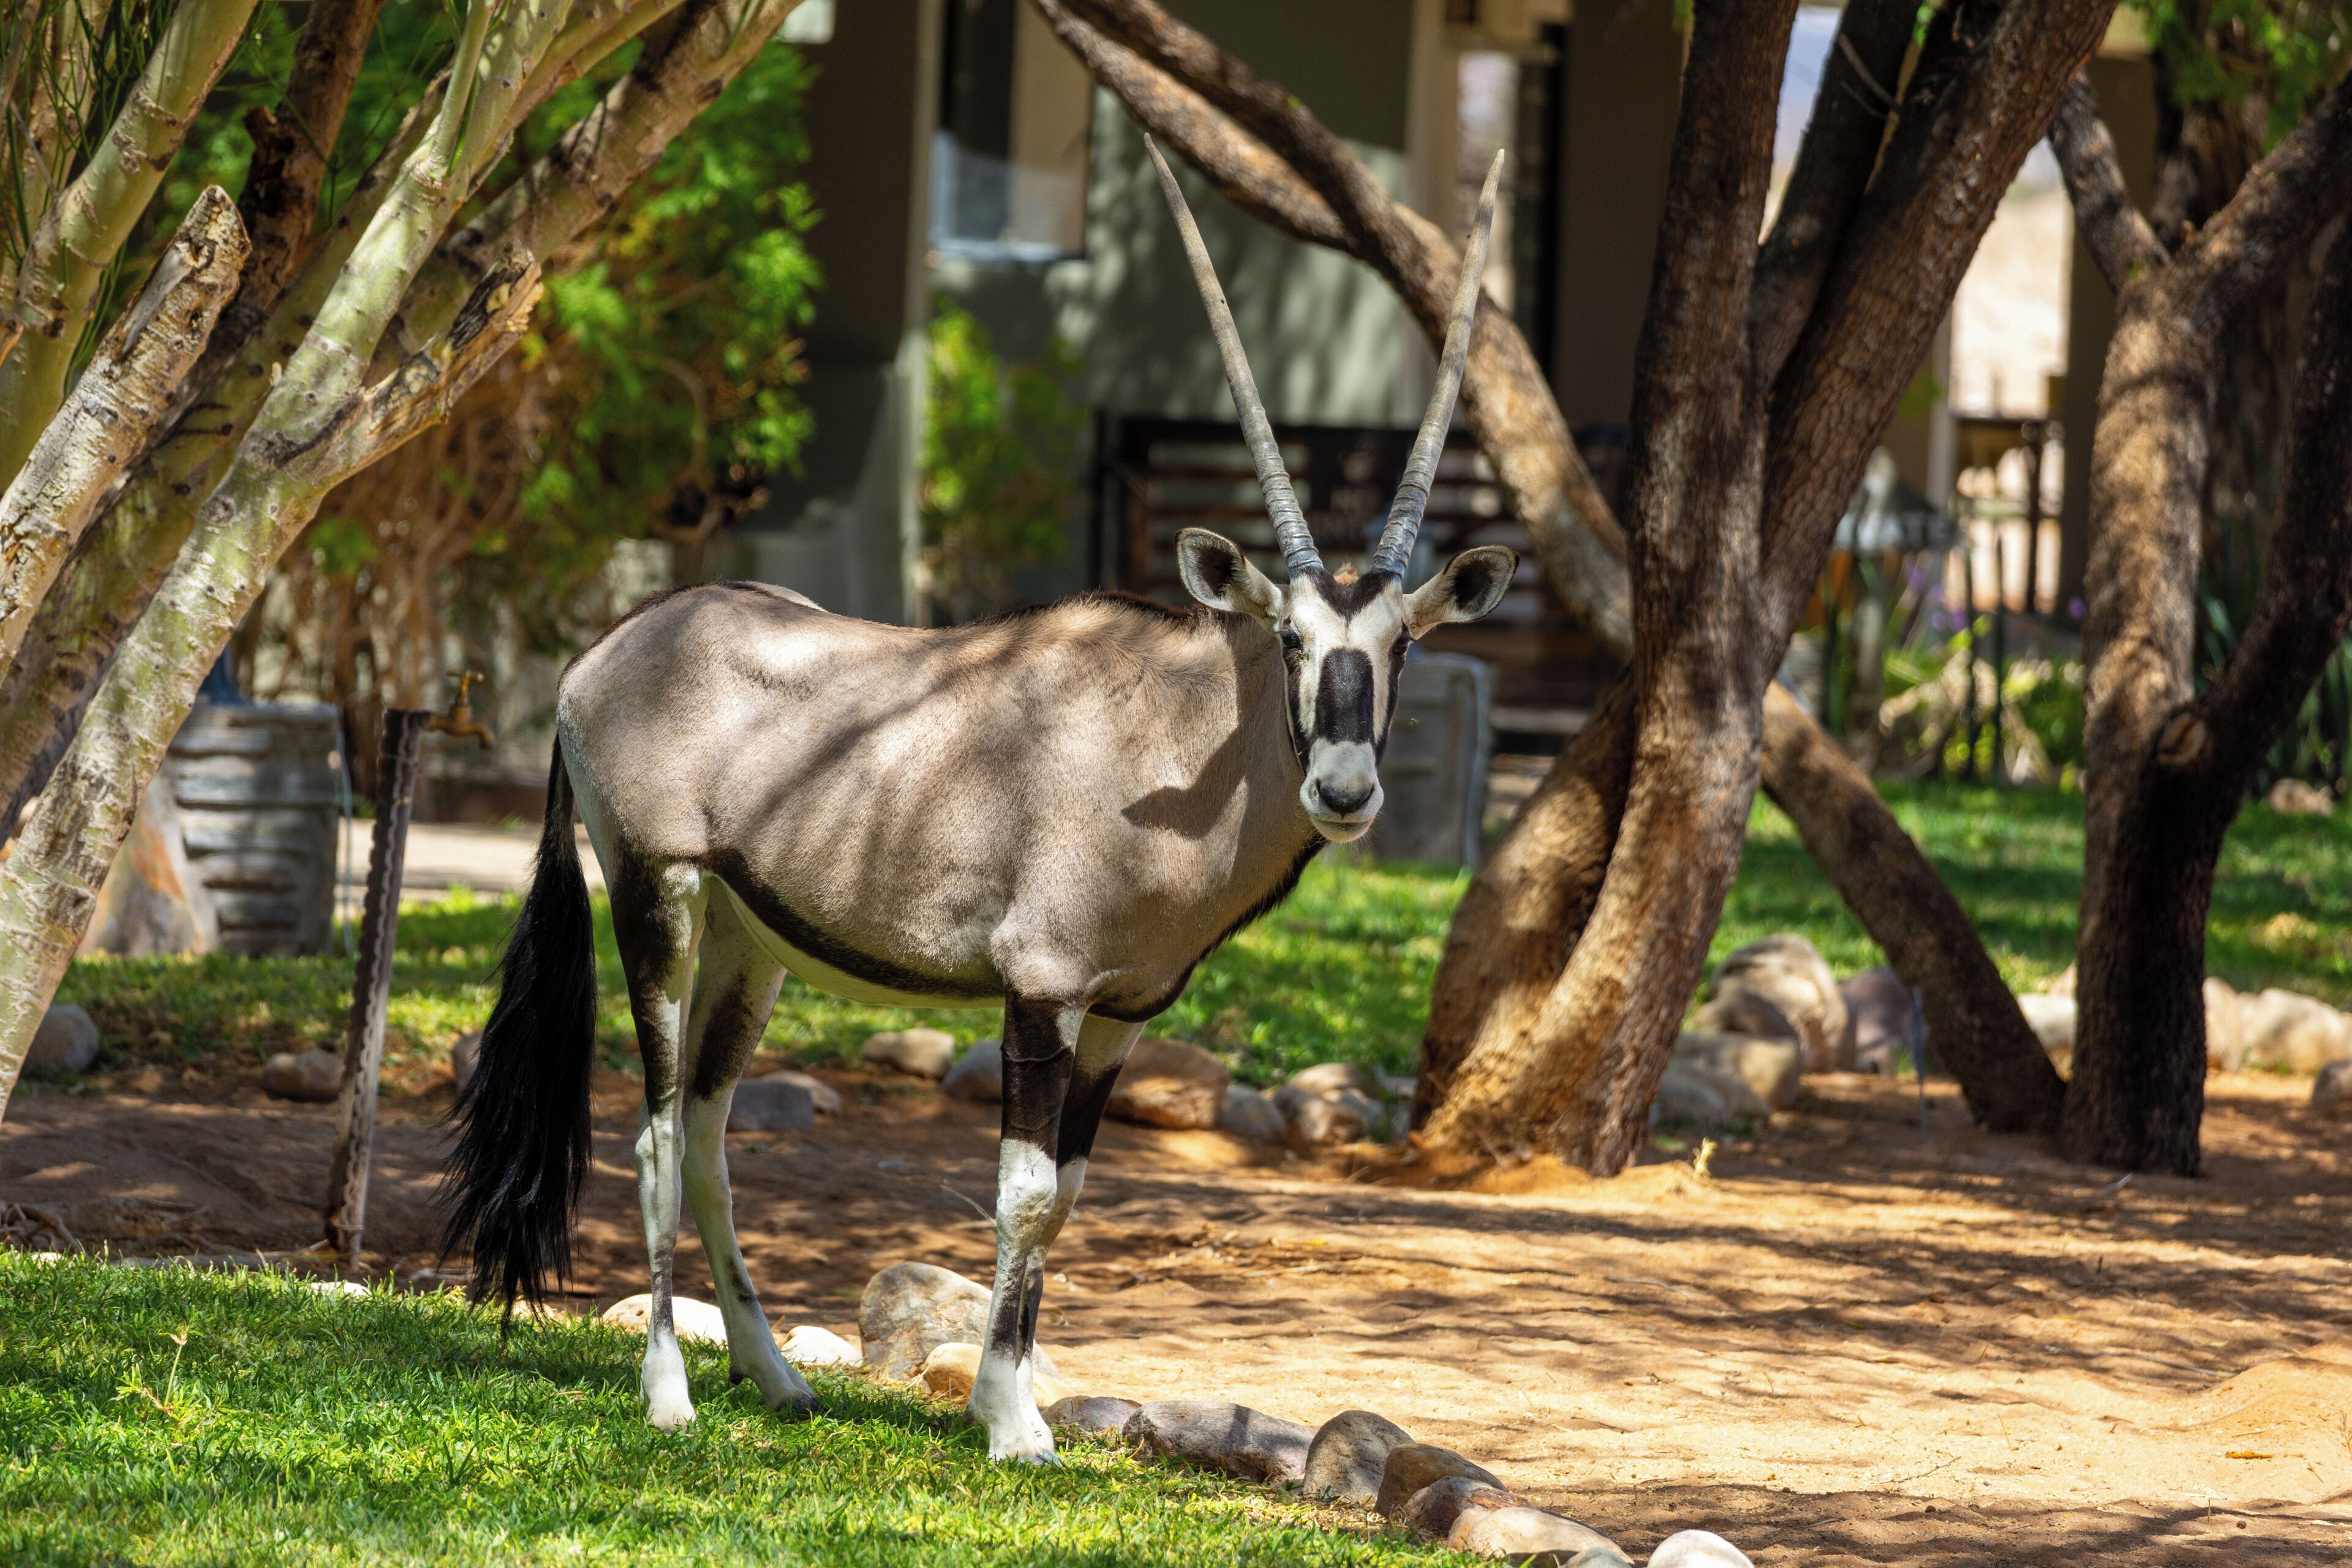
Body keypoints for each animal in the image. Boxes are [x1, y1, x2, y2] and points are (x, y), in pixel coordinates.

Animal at [442, 144, 1514, 1463]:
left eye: (1404, 642)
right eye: (1292, 636)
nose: (1346, 787)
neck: (1172, 739)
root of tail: (603, 655)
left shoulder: (1122, 1014)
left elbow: (1070, 1196)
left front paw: (1012, 1402)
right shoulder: (1041, 990)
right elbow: (1026, 1191)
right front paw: (1011, 1422)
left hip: (752, 944)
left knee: (704, 1132)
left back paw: (772, 1374)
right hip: (661, 894)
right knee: (650, 1132)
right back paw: (669, 1390)